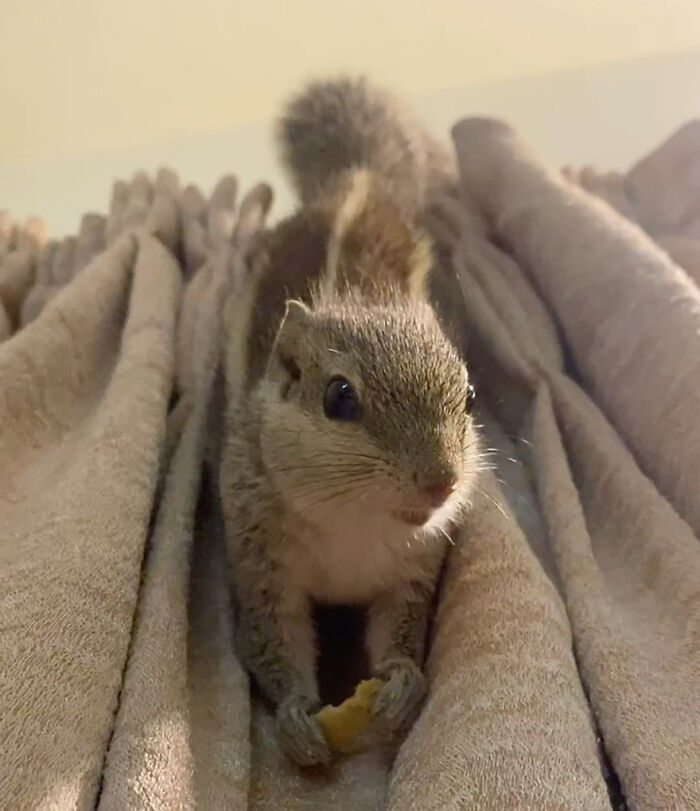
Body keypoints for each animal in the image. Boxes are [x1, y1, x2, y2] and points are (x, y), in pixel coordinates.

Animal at [218, 76, 480, 766]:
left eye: (471, 396)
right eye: (339, 397)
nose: (441, 482)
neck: (354, 522)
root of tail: (357, 179)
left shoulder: (412, 571)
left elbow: (402, 632)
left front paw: (402, 685)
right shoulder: (261, 561)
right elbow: (270, 638)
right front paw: (294, 717)